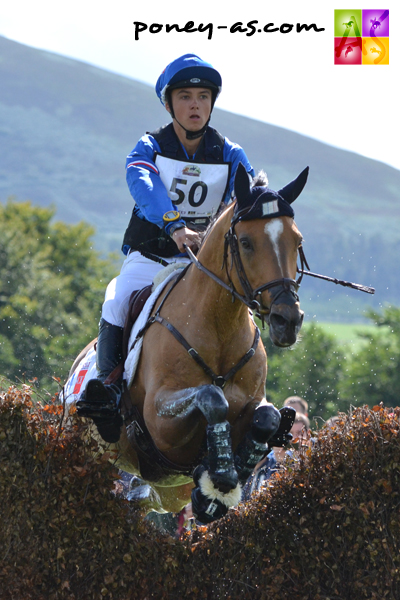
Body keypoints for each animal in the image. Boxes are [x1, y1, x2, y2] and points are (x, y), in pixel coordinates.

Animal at [67, 164, 308, 524]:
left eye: (297, 240)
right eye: (246, 242)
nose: (287, 320)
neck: (219, 329)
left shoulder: (254, 403)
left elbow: (268, 418)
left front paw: (218, 487)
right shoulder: (161, 419)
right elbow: (211, 397)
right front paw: (220, 477)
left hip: (168, 491)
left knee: (147, 498)